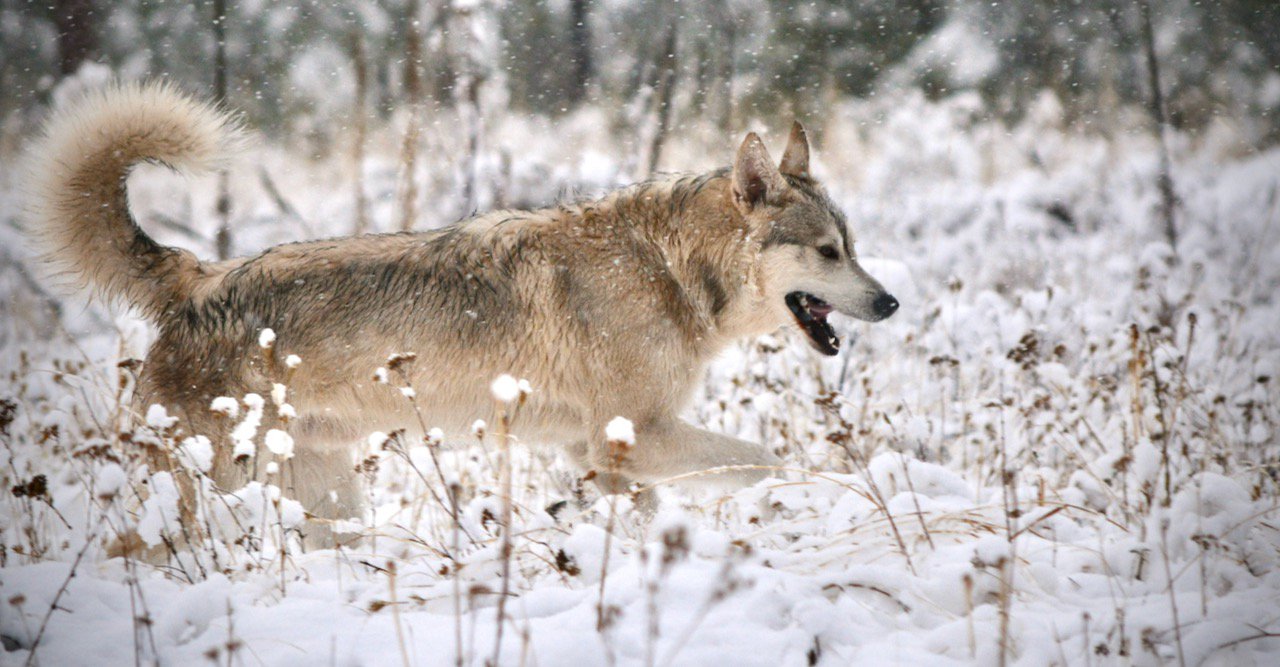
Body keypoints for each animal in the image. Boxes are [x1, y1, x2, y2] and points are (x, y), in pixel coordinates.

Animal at [22, 83, 901, 540]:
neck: (667, 268)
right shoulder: (633, 437)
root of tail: (197, 277)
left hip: (328, 500)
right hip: (217, 492)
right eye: (828, 252)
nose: (890, 302)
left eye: (852, 245)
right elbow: (772, 459)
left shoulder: (601, 452)